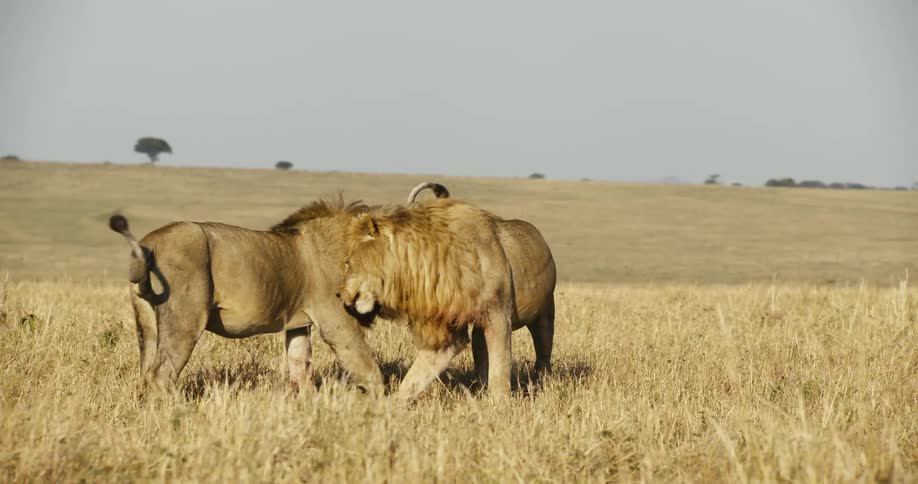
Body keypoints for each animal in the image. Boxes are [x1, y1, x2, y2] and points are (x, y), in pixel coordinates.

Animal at [109, 196, 385, 395]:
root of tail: (148, 243)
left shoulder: (298, 323)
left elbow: (300, 367)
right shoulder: (337, 322)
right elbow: (368, 368)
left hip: (147, 323)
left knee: (145, 373)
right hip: (185, 319)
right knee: (161, 375)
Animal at [338, 196, 556, 402]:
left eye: (348, 262)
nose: (339, 295)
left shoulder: (499, 315)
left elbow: (500, 367)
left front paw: (500, 404)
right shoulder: (445, 329)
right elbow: (417, 375)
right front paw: (390, 405)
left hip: (545, 315)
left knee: (543, 353)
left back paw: (543, 382)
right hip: (479, 330)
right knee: (481, 354)